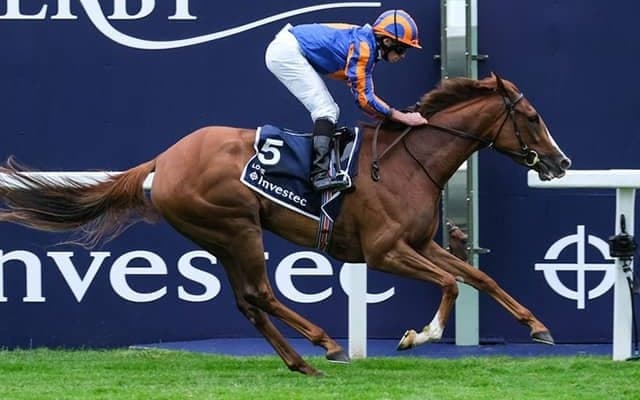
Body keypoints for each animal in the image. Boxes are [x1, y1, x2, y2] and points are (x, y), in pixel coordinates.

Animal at [0, 73, 571, 376]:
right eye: (533, 117)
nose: (561, 162)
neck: (410, 162)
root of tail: (164, 158)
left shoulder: (417, 242)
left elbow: (478, 277)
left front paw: (538, 327)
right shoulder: (384, 249)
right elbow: (451, 283)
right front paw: (417, 336)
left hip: (220, 238)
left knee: (248, 302)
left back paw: (302, 361)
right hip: (237, 227)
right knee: (260, 294)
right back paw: (326, 344)